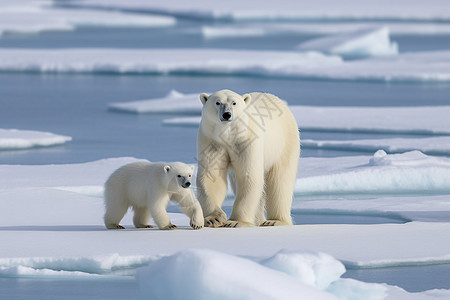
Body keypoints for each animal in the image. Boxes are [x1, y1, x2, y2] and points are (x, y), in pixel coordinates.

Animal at [196, 89, 298, 227]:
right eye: (217, 102)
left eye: (234, 103)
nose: (227, 115)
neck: (228, 135)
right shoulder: (212, 141)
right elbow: (211, 176)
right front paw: (214, 218)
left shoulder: (246, 141)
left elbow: (248, 176)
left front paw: (235, 222)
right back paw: (259, 220)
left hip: (284, 144)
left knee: (280, 182)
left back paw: (275, 221)